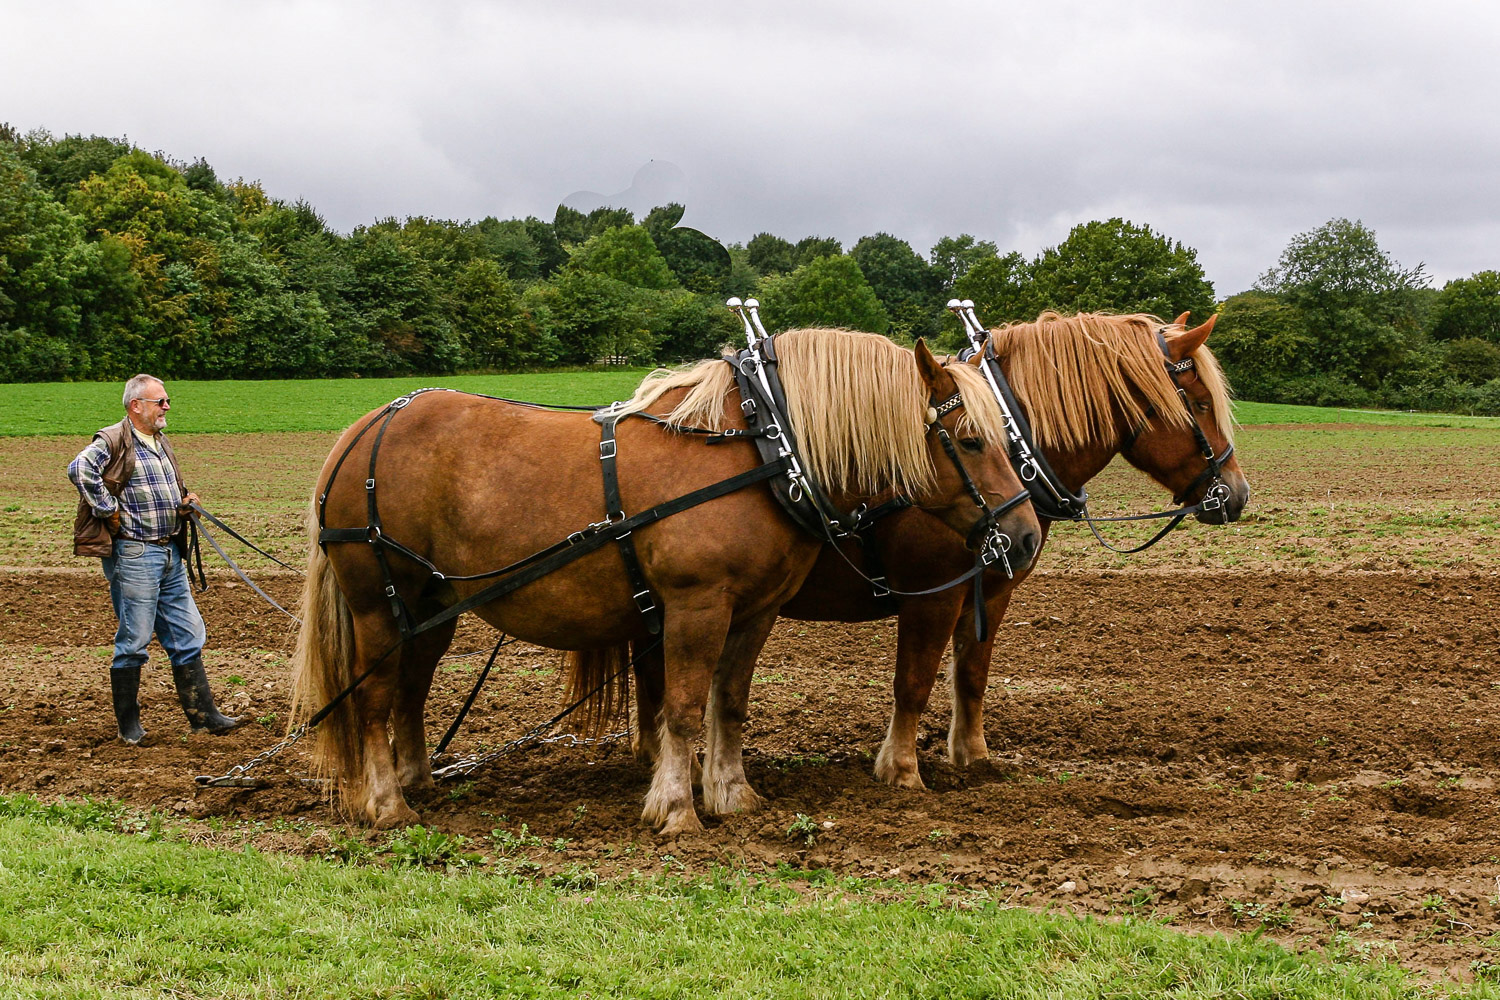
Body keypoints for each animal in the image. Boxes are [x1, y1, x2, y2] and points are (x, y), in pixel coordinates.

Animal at [286, 329, 1038, 839]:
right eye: (971, 440)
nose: (1027, 535)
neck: (762, 450)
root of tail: (363, 430)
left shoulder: (756, 611)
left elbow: (728, 702)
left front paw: (732, 795)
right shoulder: (695, 605)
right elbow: (679, 705)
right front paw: (677, 809)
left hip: (433, 606)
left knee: (411, 691)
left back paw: (417, 781)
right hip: (378, 604)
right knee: (374, 699)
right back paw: (387, 804)